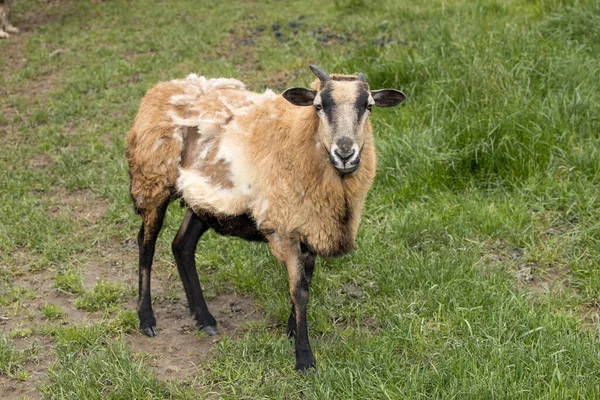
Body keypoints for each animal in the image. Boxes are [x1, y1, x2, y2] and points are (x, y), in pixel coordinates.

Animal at [126, 65, 408, 372]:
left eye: (369, 106)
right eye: (318, 106)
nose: (345, 153)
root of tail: (163, 87)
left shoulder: (311, 224)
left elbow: (305, 283)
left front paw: (292, 331)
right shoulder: (286, 229)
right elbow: (299, 290)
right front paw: (304, 358)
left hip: (202, 198)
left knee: (182, 245)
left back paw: (204, 319)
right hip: (153, 179)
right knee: (146, 243)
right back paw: (147, 319)